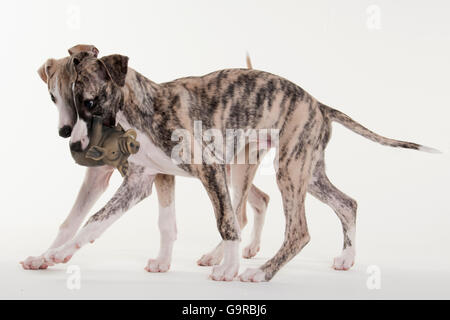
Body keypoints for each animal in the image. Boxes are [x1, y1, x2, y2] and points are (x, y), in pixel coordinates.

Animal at [23, 48, 436, 282]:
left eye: (89, 102)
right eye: (59, 99)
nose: (74, 143)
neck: (145, 107)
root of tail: (319, 104)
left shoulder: (210, 169)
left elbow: (226, 221)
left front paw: (228, 268)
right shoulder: (141, 181)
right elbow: (97, 220)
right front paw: (58, 253)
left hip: (288, 169)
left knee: (297, 229)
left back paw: (259, 272)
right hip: (307, 170)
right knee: (347, 203)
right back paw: (347, 258)